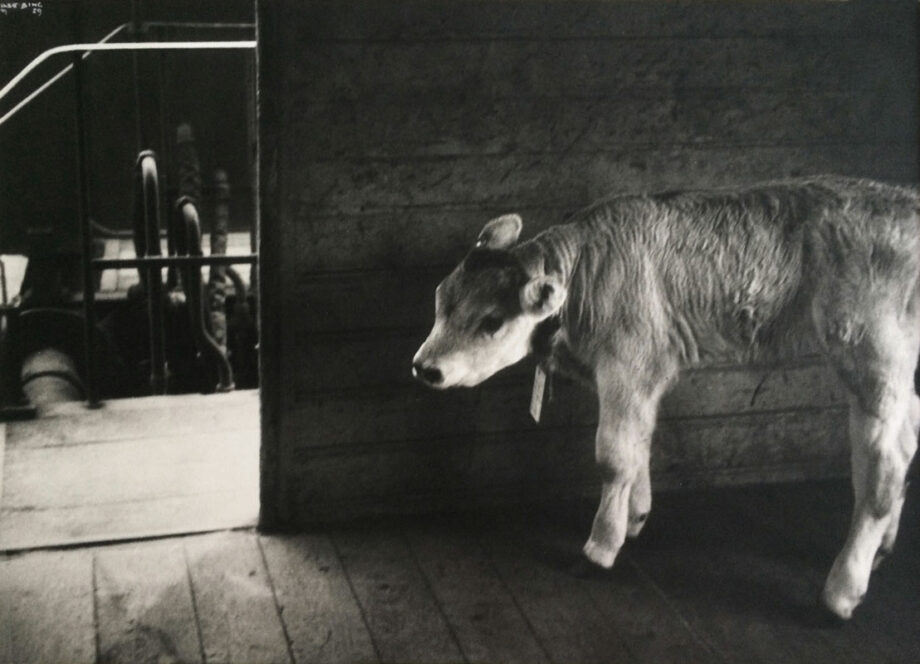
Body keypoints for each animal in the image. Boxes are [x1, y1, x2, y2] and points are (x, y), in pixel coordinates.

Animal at [414, 174, 920, 620]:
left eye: (492, 321)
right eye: (440, 298)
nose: (425, 367)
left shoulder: (626, 361)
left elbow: (613, 455)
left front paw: (600, 546)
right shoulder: (647, 370)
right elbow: (640, 439)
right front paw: (636, 516)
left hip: (871, 352)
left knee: (883, 464)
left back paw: (842, 590)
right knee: (906, 435)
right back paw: (885, 546)